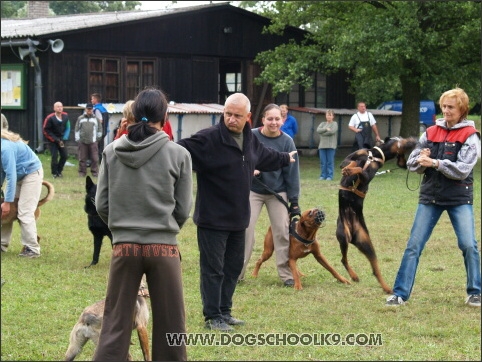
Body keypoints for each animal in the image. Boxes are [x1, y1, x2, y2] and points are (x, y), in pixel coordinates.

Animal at [336, 136, 418, 294]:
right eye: (403, 140)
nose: (414, 140)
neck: (373, 155)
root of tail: (352, 234)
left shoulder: (368, 176)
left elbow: (360, 169)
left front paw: (353, 169)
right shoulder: (349, 158)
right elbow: (351, 162)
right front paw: (350, 168)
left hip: (365, 242)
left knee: (373, 269)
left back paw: (385, 287)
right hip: (343, 236)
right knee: (344, 259)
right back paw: (355, 276)